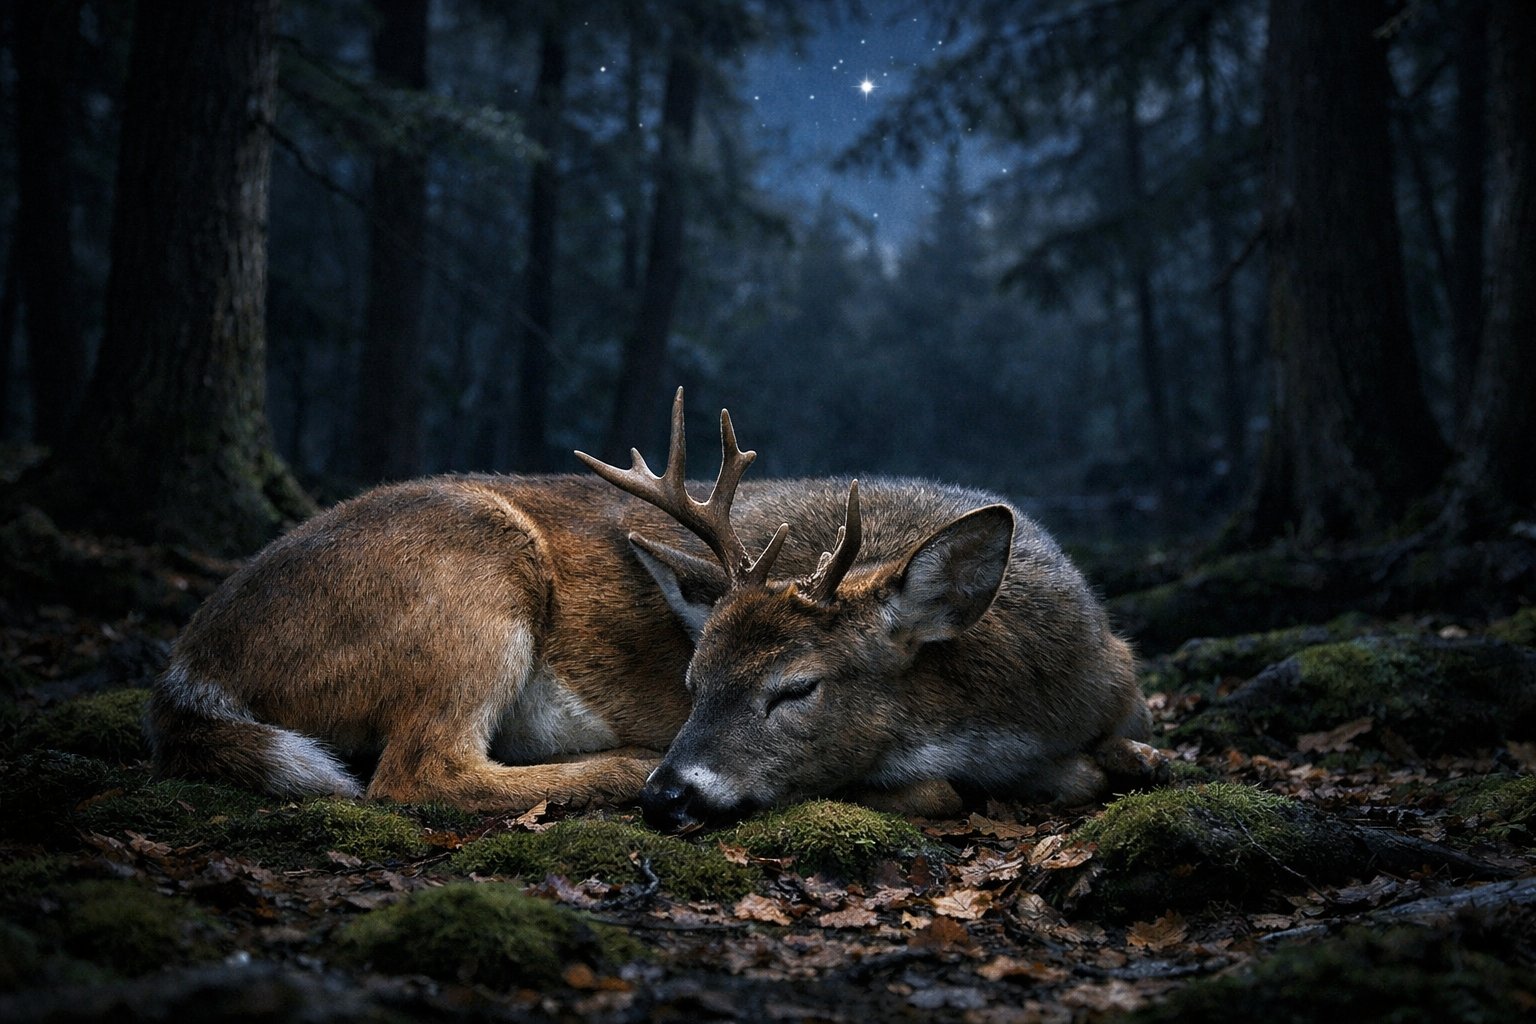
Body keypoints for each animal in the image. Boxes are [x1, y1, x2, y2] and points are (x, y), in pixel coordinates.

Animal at [149, 389, 1164, 831]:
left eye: (797, 688)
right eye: (692, 677)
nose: (673, 791)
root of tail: (190, 667)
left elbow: (1131, 757)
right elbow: (947, 785)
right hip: (473, 582)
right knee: (418, 771)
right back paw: (617, 766)